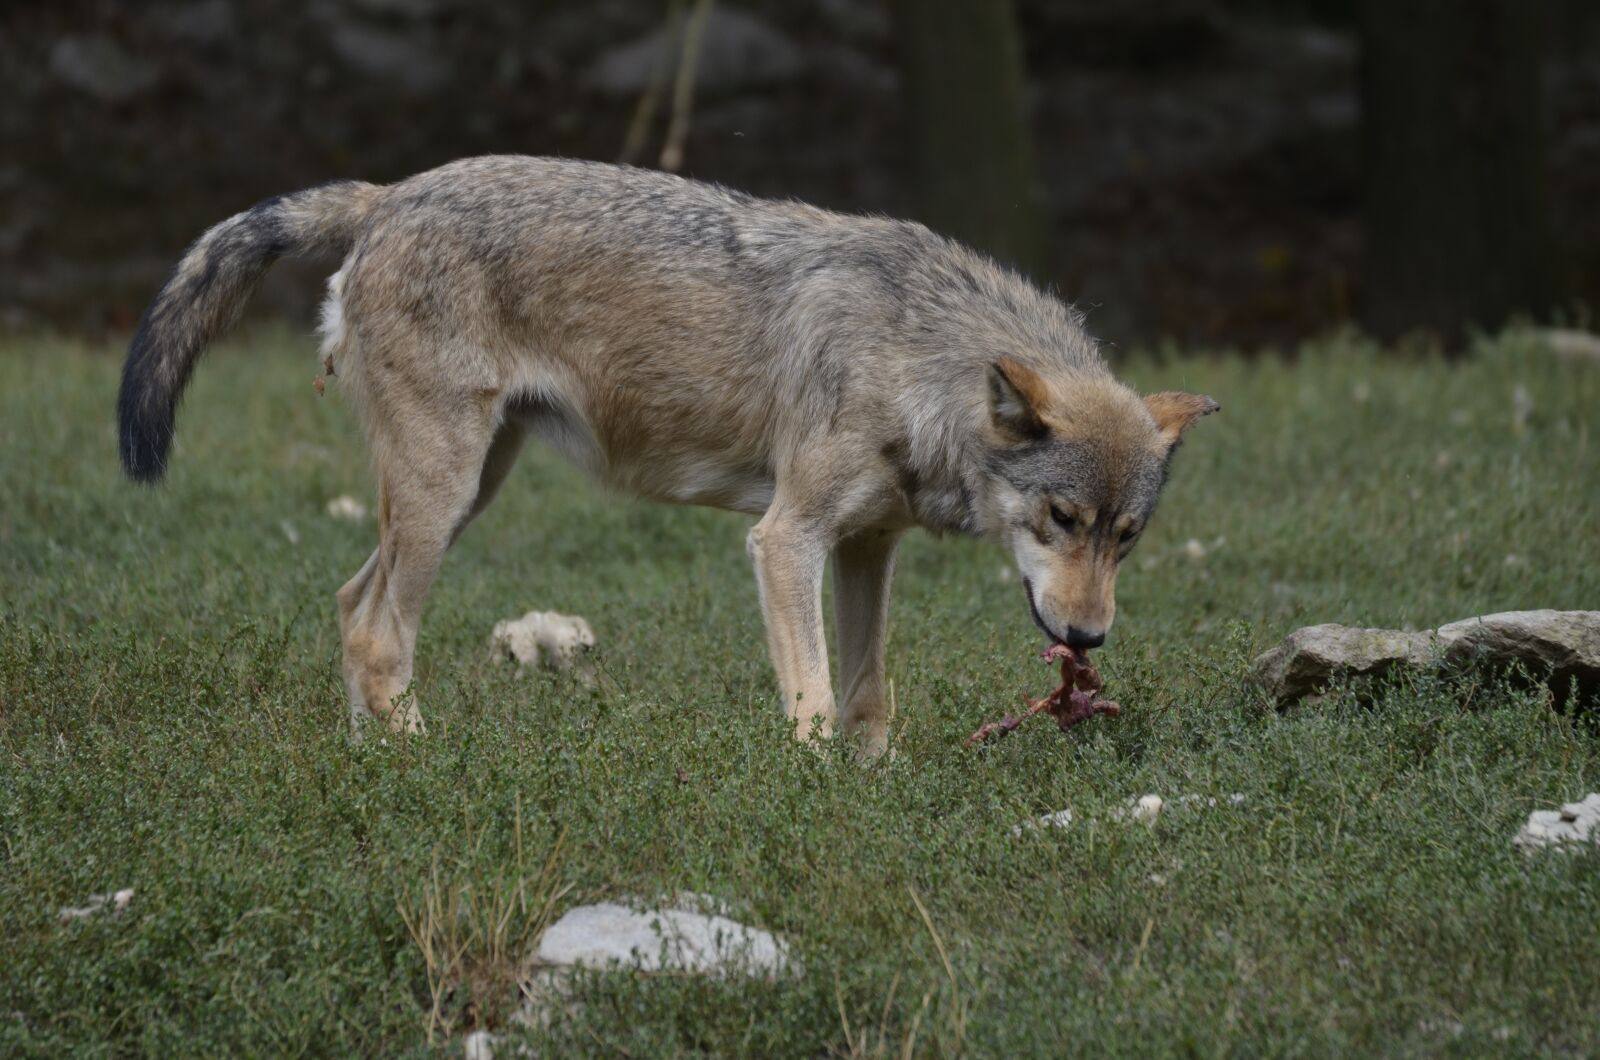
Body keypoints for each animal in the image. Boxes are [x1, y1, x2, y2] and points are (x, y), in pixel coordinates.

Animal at [118, 156, 1216, 756]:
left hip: (468, 491)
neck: (917, 359)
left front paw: (878, 792)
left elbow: (870, 697)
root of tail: (389, 194)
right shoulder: (785, 541)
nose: (1088, 639)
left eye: (1125, 538)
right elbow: (815, 700)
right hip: (443, 493)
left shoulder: (868, 549)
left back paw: (372, 765)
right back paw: (426, 769)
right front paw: (817, 796)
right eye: (1061, 520)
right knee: (381, 634)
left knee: (351, 608)